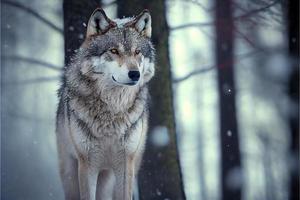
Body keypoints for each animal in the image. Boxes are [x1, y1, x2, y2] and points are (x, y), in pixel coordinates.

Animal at [55, 8, 156, 200]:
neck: (113, 110)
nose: (135, 74)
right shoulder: (87, 163)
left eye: (137, 52)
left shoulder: (126, 163)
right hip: (70, 174)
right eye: (114, 50)